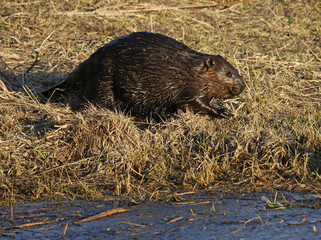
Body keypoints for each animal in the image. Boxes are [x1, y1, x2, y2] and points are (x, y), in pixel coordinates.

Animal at [42, 31, 242, 118]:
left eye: (235, 71)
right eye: (228, 73)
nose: (242, 85)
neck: (192, 69)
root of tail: (85, 66)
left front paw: (223, 107)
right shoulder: (188, 86)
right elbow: (194, 103)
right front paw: (224, 112)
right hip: (104, 79)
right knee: (93, 100)